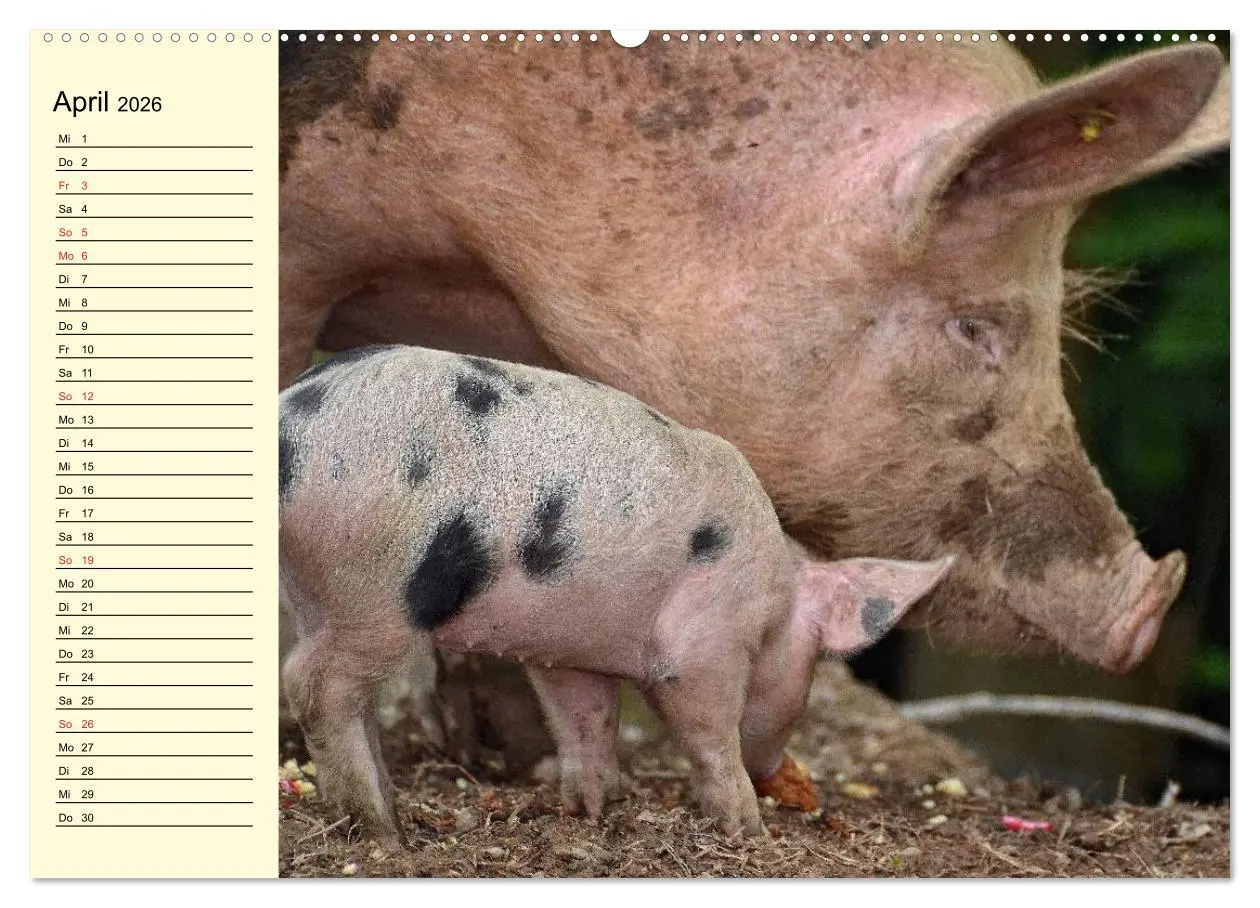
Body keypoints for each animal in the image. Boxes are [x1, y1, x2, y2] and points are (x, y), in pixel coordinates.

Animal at [278, 344, 953, 842]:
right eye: (813, 671)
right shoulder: (706, 643)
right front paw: (746, 828)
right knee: (312, 684)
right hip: (376, 588)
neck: (776, 598)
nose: (772, 773)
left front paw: (594, 811)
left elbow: (587, 721)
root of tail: (290, 425)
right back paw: (384, 830)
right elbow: (708, 731)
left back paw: (388, 809)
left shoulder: (569, 650)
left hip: (318, 592)